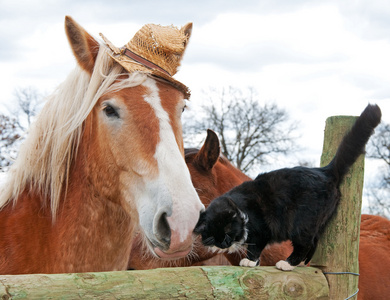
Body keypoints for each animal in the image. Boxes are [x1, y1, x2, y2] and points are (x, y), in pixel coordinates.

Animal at [193, 105, 382, 272]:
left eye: (227, 233)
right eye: (213, 236)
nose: (224, 244)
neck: (241, 210)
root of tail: (325, 171)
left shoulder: (262, 229)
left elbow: (255, 246)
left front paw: (250, 261)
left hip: (302, 223)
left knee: (305, 243)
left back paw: (288, 263)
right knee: (314, 242)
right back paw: (301, 263)